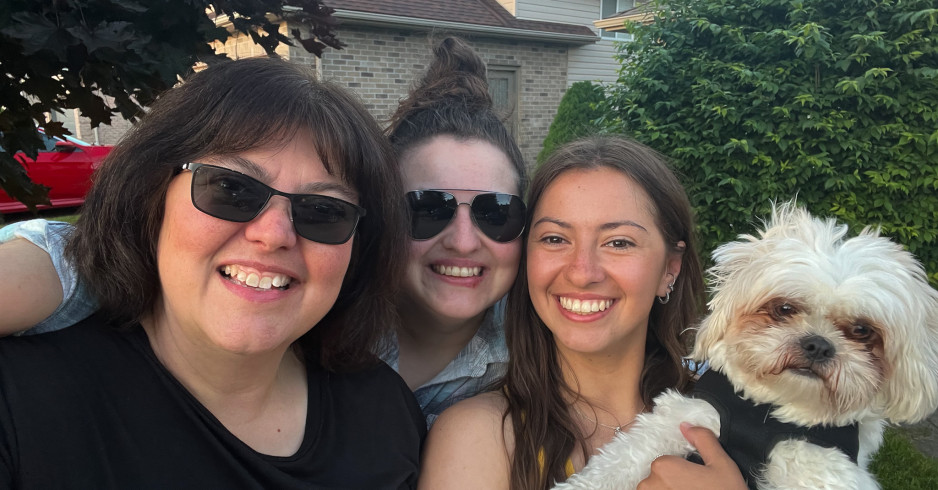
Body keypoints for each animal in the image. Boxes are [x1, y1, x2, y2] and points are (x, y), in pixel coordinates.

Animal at [552, 202, 936, 490]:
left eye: (861, 330)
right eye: (784, 308)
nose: (818, 345)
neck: (767, 415)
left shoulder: (823, 470)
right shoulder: (686, 419)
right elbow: (619, 461)